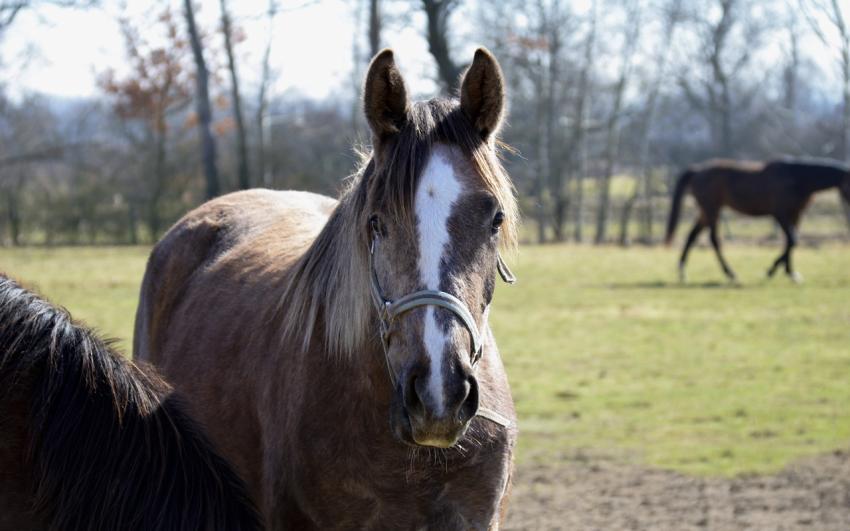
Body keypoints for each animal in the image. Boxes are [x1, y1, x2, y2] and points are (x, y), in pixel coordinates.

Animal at [664, 157, 848, 282]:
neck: (797, 178)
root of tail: (697, 170)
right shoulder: (780, 213)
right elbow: (792, 239)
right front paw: (772, 270)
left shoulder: (796, 214)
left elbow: (790, 241)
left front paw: (789, 272)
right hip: (711, 209)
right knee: (713, 239)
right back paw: (730, 273)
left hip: (705, 211)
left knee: (691, 236)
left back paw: (682, 272)